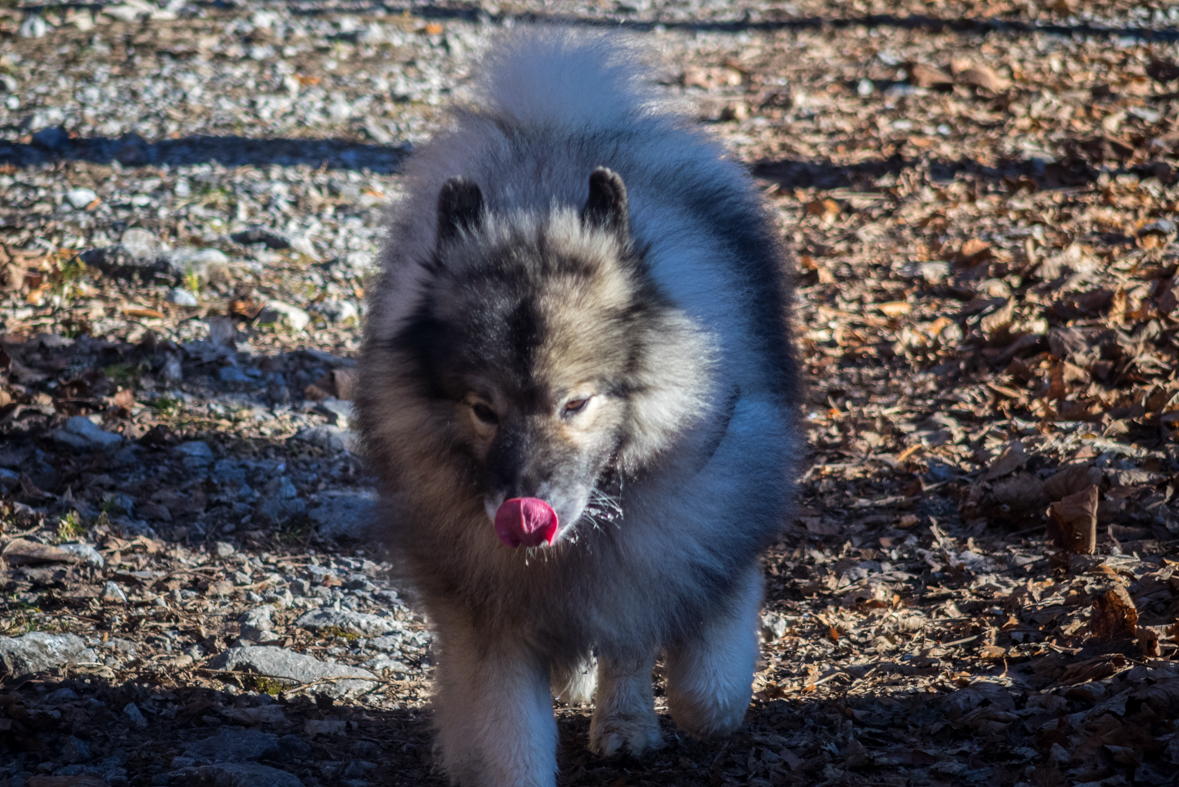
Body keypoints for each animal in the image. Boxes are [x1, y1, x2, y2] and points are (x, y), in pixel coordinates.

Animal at [356, 26, 801, 787]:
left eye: (576, 403)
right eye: (482, 408)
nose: (521, 513)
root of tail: (556, 124)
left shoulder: (697, 540)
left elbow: (705, 691)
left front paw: (673, 704)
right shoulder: (489, 615)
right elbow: (510, 735)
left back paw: (624, 720)